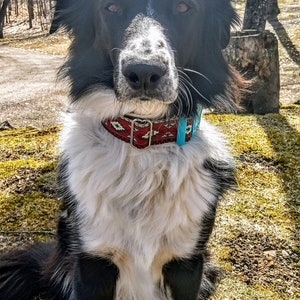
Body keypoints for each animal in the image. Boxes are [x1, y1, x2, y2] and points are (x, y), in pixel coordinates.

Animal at [0, 1, 239, 298]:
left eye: (184, 7)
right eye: (111, 7)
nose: (144, 72)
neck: (143, 145)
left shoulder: (187, 263)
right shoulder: (93, 262)